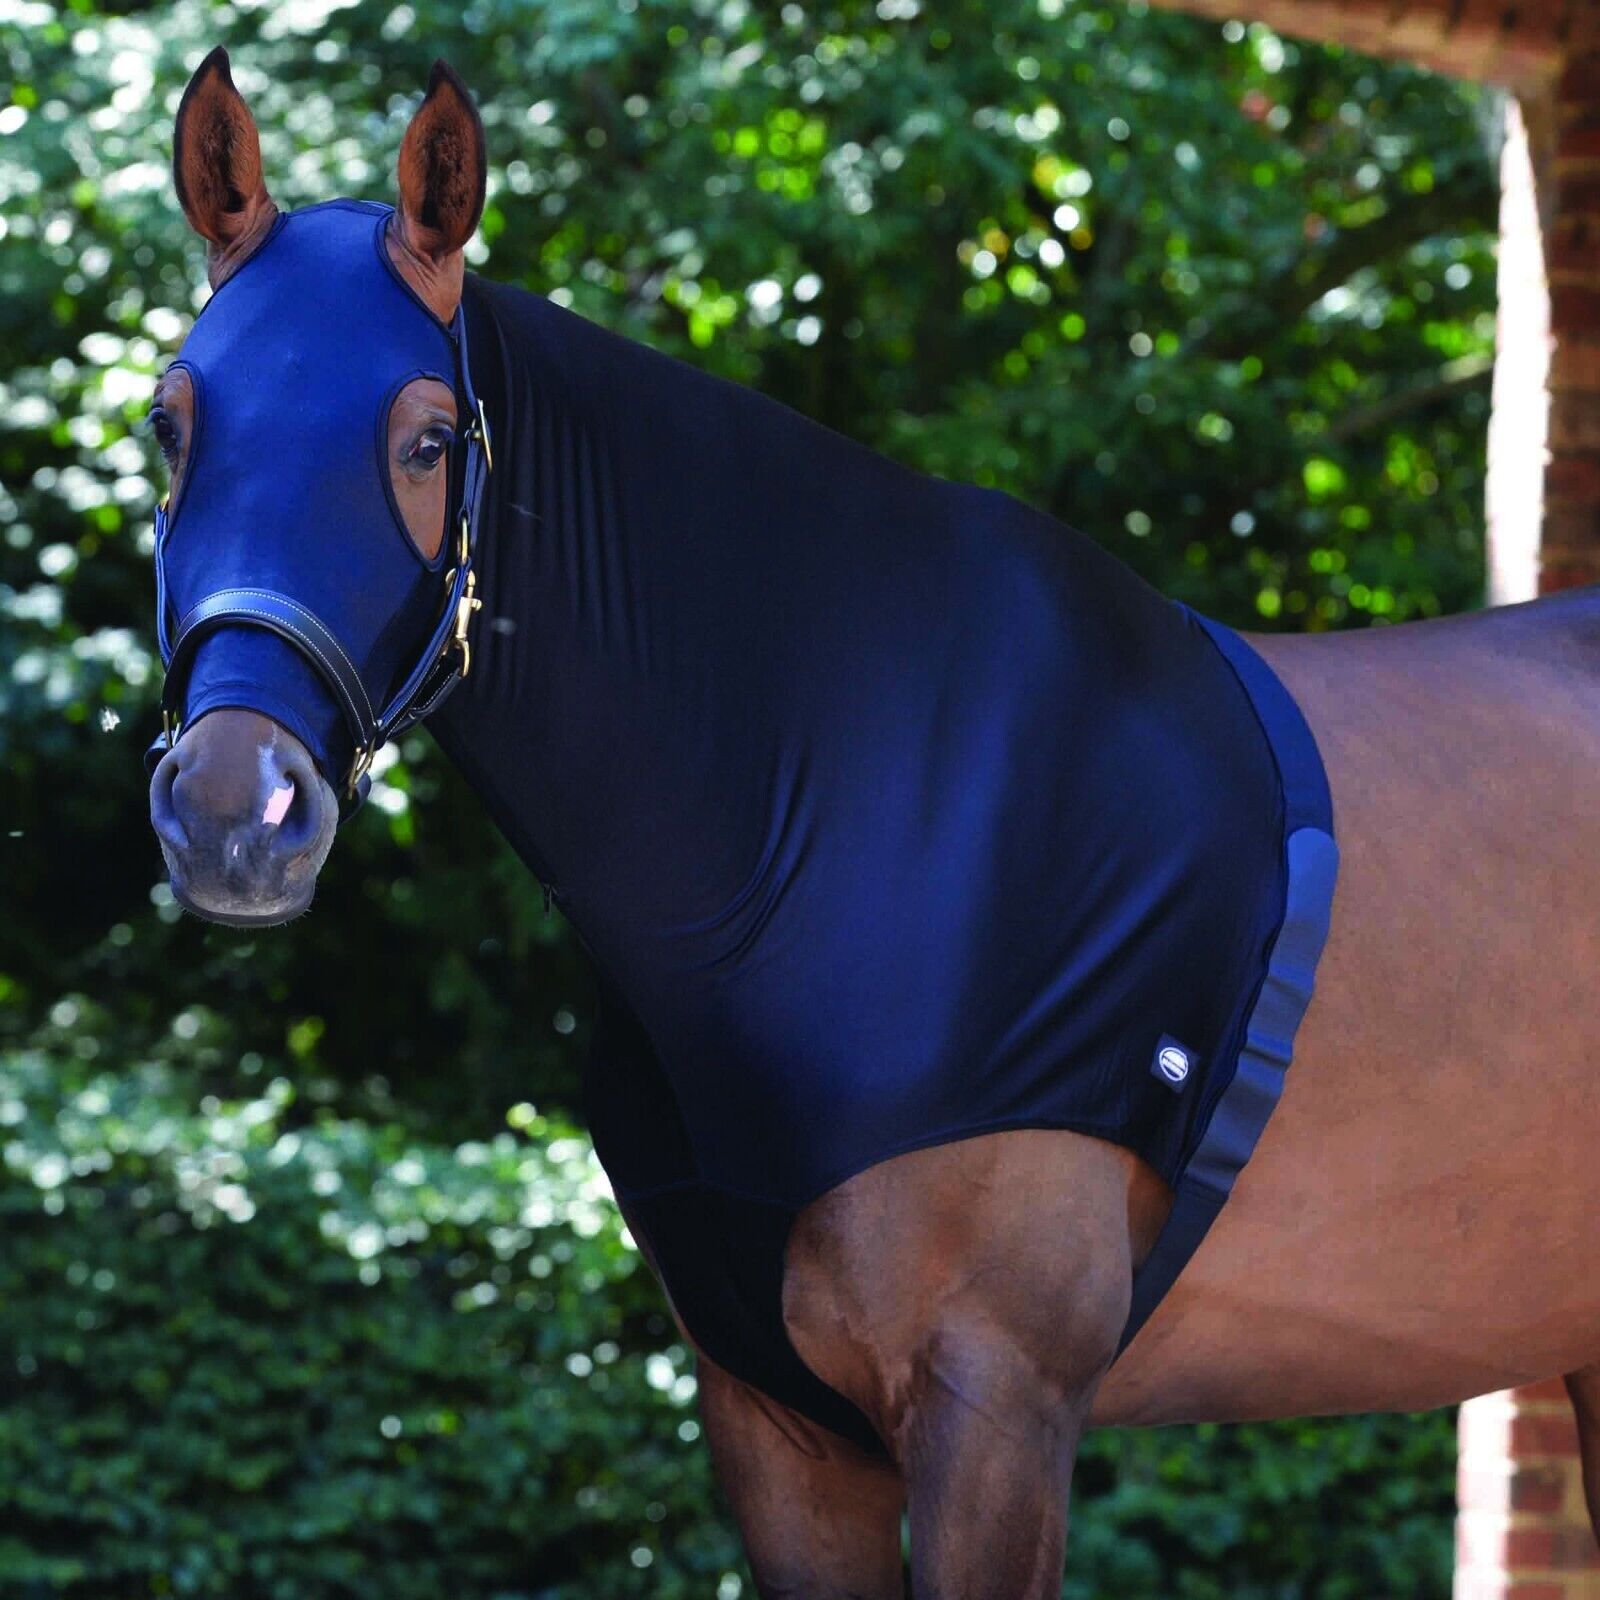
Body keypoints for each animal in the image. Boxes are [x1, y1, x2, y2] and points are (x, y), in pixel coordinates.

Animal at [143, 49, 1600, 1598]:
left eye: (426, 438)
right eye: (171, 424)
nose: (235, 814)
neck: (843, 808)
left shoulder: (997, 1400)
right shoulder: (775, 1420)